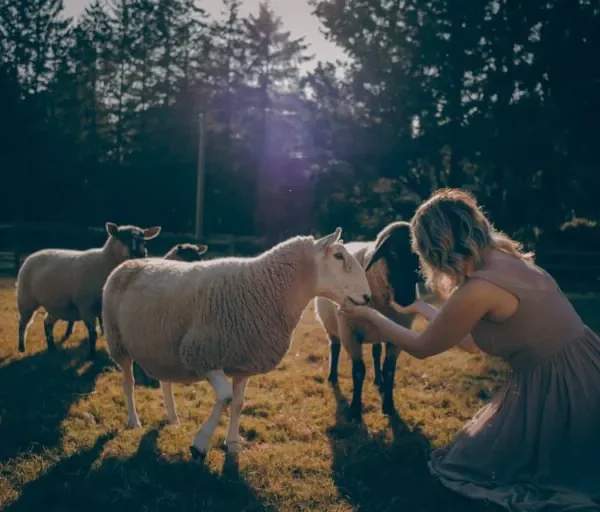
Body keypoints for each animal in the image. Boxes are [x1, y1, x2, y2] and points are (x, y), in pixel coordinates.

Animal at [15, 221, 162, 360]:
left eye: (144, 240)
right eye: (123, 238)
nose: (141, 254)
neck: (103, 262)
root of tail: (35, 253)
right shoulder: (86, 306)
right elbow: (93, 333)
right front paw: (91, 355)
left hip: (56, 304)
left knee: (47, 323)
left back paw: (52, 348)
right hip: (26, 299)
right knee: (23, 323)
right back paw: (21, 347)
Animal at [103, 228, 376, 456]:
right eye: (338, 256)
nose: (367, 297)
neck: (265, 289)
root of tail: (129, 262)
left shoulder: (243, 361)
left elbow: (238, 403)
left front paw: (232, 443)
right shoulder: (202, 354)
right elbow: (225, 398)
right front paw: (200, 444)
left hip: (161, 346)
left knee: (165, 382)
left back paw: (173, 418)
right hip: (118, 343)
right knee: (128, 382)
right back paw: (134, 420)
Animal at [312, 222, 420, 422]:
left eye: (419, 256)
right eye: (393, 253)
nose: (407, 299)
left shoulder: (397, 338)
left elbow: (389, 370)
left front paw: (388, 405)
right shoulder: (350, 334)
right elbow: (358, 371)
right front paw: (355, 409)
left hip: (376, 332)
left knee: (376, 353)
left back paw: (378, 380)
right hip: (331, 327)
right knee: (334, 348)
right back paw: (332, 377)